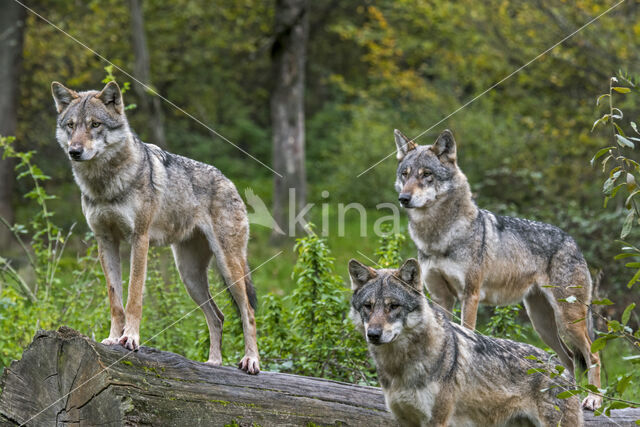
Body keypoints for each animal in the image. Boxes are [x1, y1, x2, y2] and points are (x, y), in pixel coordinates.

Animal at [50, 80, 260, 374]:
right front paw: (112, 338)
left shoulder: (140, 239)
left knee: (247, 312)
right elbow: (115, 300)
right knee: (217, 317)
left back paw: (251, 361)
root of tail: (229, 181)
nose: (75, 151)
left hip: (229, 268)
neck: (105, 184)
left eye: (95, 124)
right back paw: (213, 363)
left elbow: (133, 296)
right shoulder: (105, 241)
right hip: (189, 277)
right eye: (71, 125)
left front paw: (130, 338)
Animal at [350, 260, 584, 426]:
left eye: (393, 306)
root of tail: (562, 369)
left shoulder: (437, 421)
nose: (373, 334)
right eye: (368, 306)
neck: (399, 367)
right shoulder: (403, 420)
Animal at [392, 129, 604, 410]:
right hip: (542, 323)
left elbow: (468, 335)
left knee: (594, 355)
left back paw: (593, 399)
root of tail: (572, 241)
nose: (404, 198)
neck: (439, 238)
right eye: (405, 174)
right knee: (569, 358)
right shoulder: (440, 298)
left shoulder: (470, 296)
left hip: (568, 319)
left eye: (426, 174)